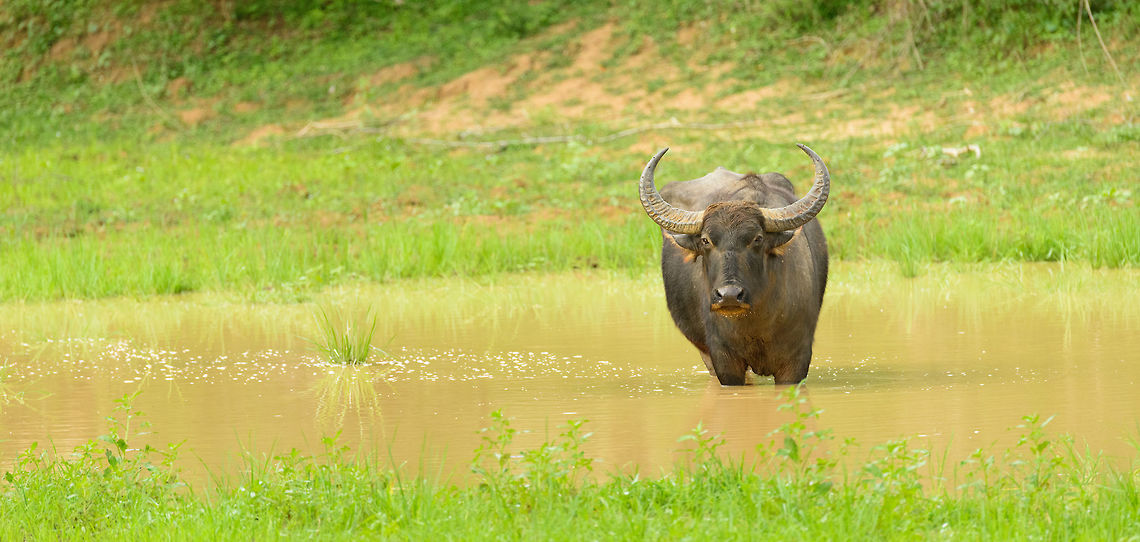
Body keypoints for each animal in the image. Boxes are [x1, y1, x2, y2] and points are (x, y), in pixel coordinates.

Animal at [638, 144, 831, 385]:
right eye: (705, 240)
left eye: (757, 238)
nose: (729, 295)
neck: (756, 322)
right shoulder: (723, 358)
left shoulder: (797, 358)